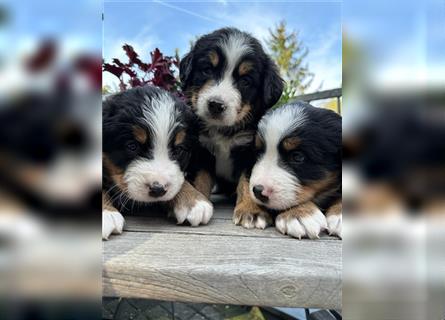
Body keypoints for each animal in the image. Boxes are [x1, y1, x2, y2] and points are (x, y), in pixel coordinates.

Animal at [101, 86, 212, 239]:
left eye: (179, 150)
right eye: (132, 146)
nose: (158, 189)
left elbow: (180, 180)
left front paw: (194, 201)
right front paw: (106, 214)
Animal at [179, 29, 282, 225]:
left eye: (245, 81)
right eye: (207, 70)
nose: (216, 104)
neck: (223, 131)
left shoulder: (250, 150)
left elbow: (247, 181)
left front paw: (251, 210)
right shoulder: (202, 150)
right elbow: (201, 179)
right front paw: (198, 200)